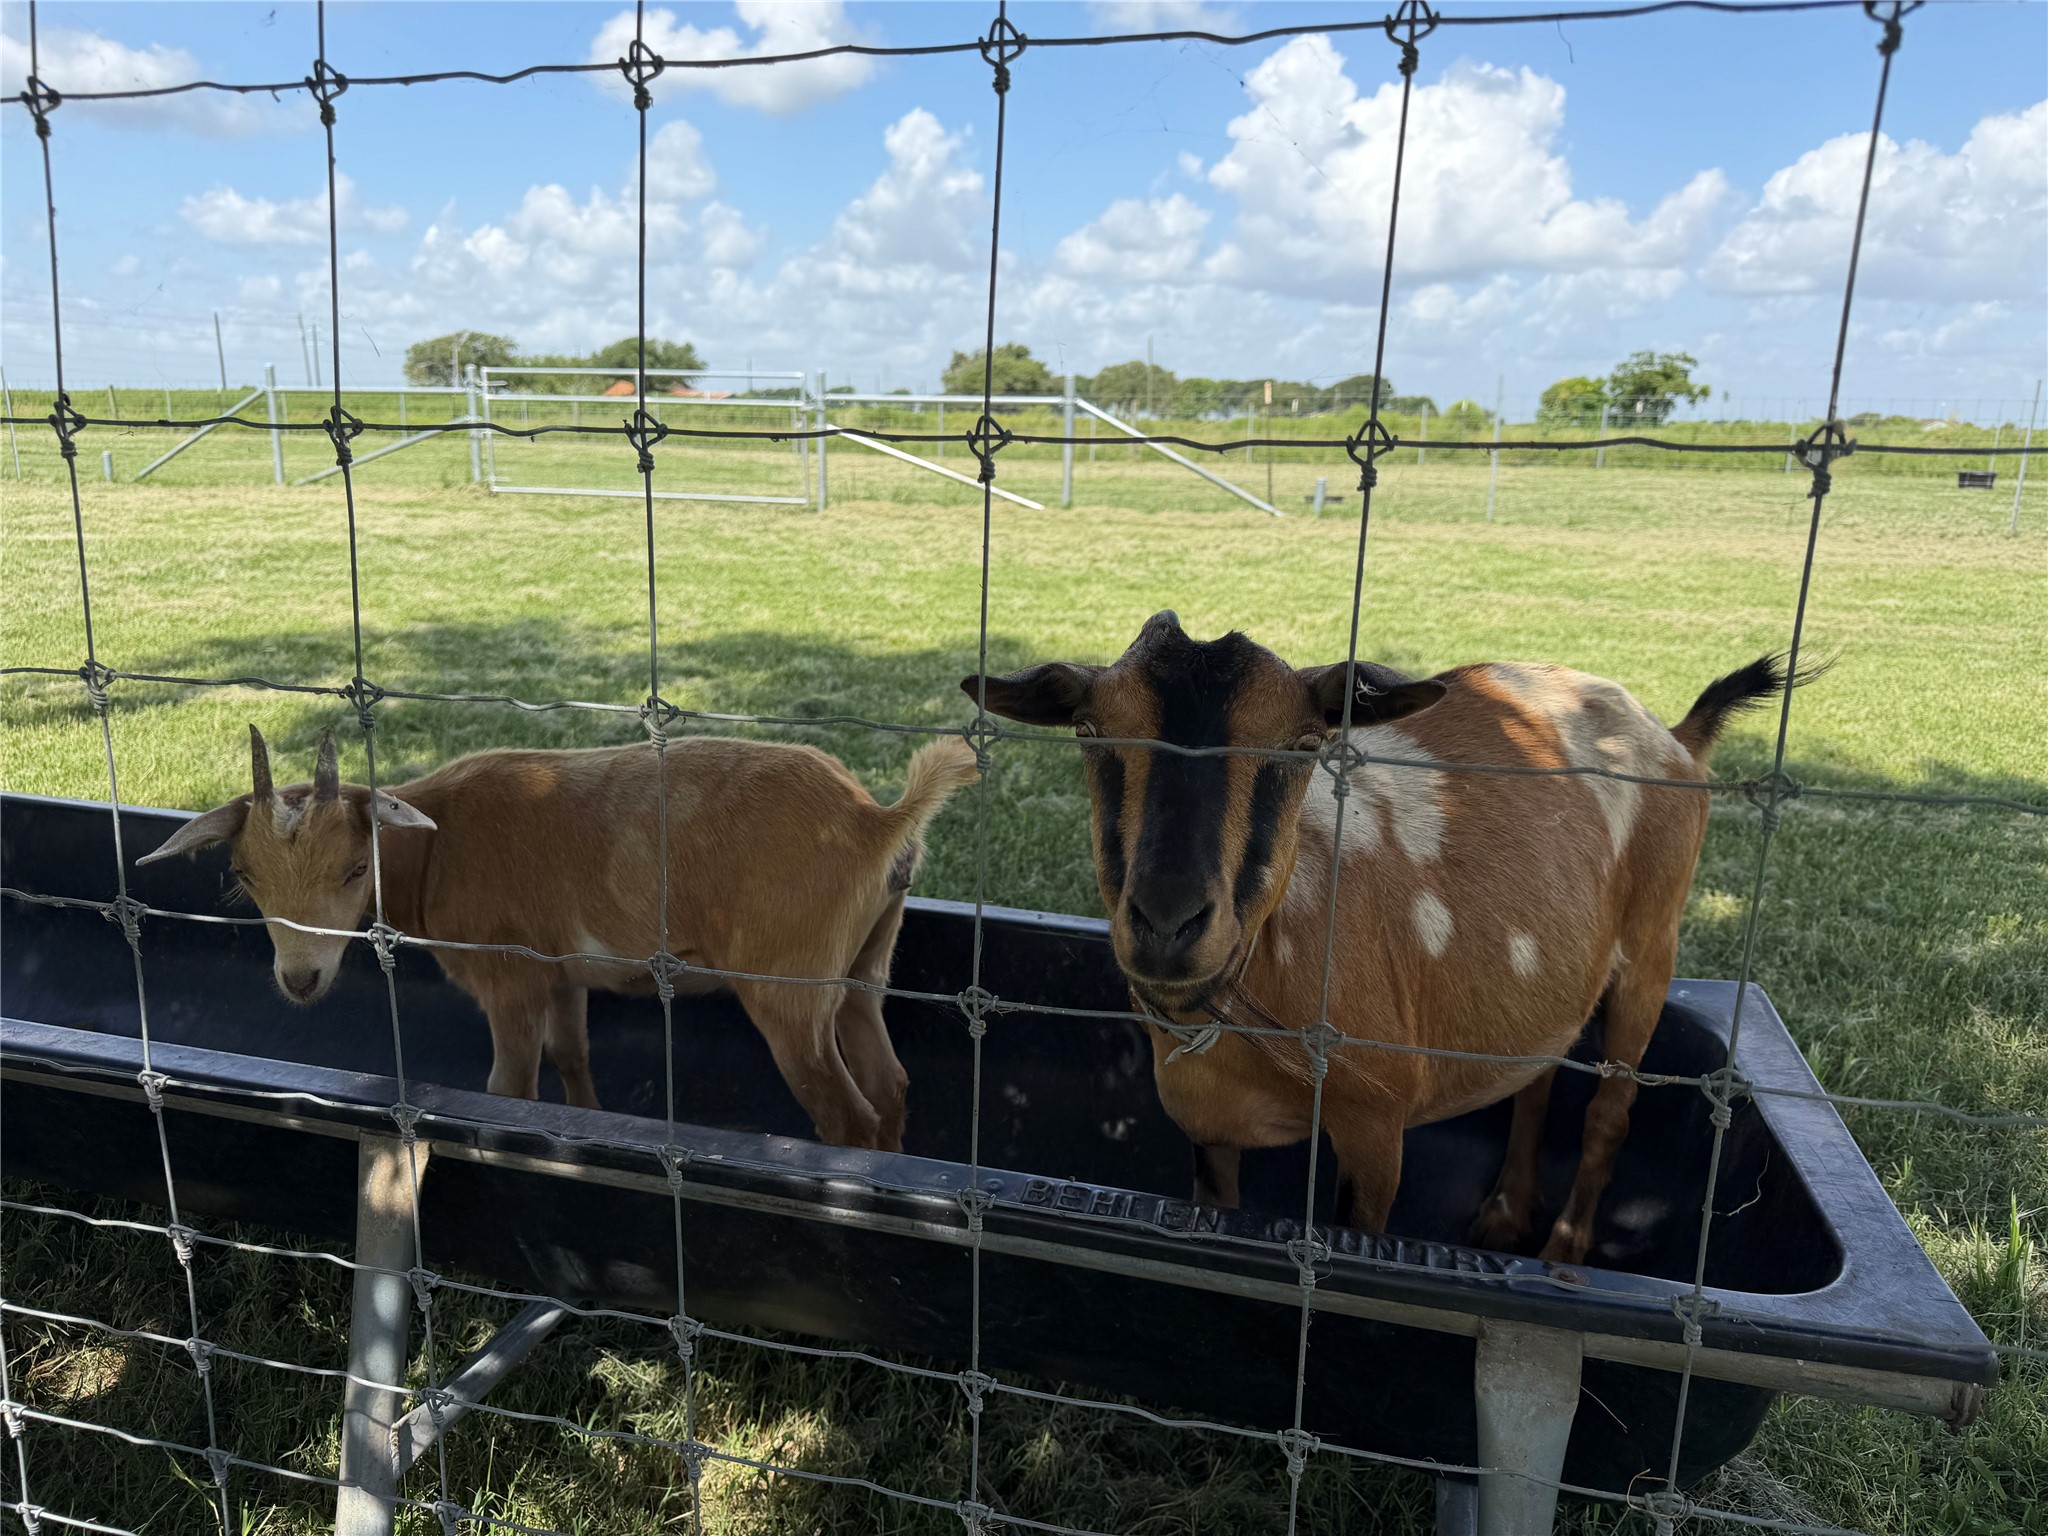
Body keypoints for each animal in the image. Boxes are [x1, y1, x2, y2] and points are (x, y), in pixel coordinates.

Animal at [138, 727, 979, 1150]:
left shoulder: (508, 974)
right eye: (244, 874)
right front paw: (587, 1123)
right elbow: (571, 1053)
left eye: (353, 868)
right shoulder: (564, 971)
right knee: (889, 1082)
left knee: (844, 1113)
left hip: (791, 984)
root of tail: (876, 821)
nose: (301, 978)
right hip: (866, 959)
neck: (436, 845)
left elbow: (509, 1087)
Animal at [967, 611, 1809, 1263]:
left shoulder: (1375, 1123)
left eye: (1304, 743)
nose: (1169, 922)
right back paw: (1503, 1218)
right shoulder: (1207, 1128)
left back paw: (1561, 1252)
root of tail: (1676, 736)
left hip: (1653, 941)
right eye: (1087, 730)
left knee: (1610, 1110)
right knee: (1537, 1074)